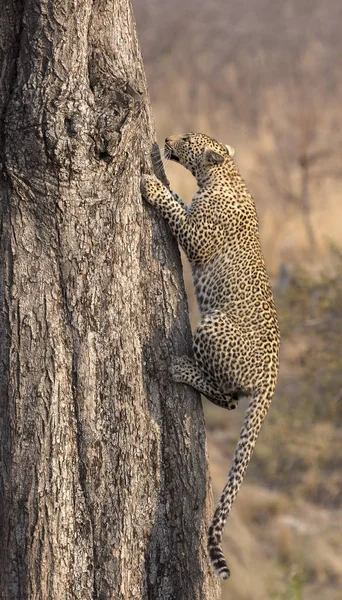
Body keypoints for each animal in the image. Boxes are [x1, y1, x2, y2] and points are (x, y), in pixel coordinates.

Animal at [140, 132, 280, 580]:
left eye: (187, 140)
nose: (168, 138)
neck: (223, 175)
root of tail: (272, 377)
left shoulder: (198, 237)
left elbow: (173, 210)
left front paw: (150, 185)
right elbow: (178, 201)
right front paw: (161, 182)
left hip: (212, 326)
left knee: (228, 397)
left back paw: (180, 367)